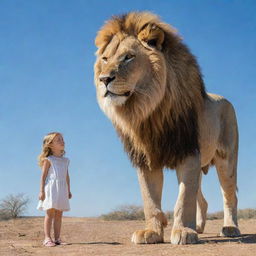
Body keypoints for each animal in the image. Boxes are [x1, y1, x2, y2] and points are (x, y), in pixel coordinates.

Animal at [93, 12, 240, 244]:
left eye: (128, 57)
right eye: (105, 59)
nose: (104, 79)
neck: (148, 111)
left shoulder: (188, 152)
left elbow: (184, 198)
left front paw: (183, 232)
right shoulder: (146, 158)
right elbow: (149, 199)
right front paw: (151, 232)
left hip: (227, 159)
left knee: (229, 195)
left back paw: (230, 228)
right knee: (203, 199)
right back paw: (199, 227)